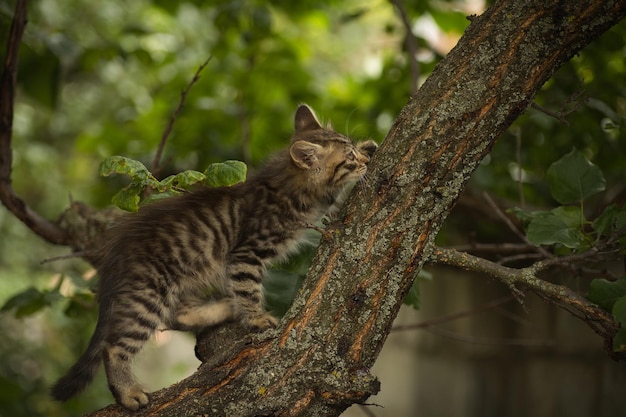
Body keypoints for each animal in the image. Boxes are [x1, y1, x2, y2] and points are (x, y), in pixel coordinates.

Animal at [50, 105, 376, 410]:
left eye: (352, 149)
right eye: (348, 159)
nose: (363, 161)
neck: (286, 180)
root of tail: (114, 254)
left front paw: (370, 146)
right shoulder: (247, 252)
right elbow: (247, 288)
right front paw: (255, 317)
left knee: (177, 316)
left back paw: (223, 309)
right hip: (149, 292)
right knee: (116, 345)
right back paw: (128, 392)